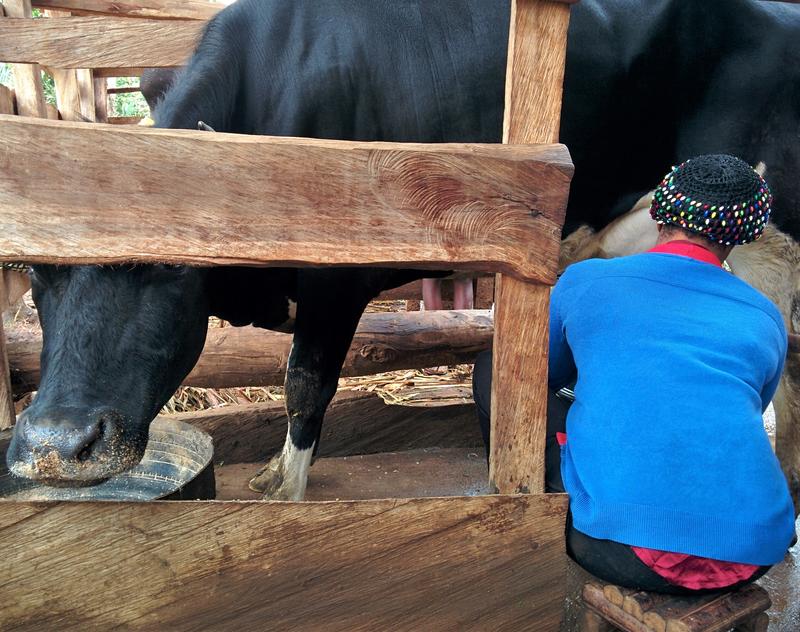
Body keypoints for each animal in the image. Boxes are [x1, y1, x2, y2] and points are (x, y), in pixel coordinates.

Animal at [7, 0, 800, 504]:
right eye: (34, 268)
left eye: (168, 263)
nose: (54, 445)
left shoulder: (337, 282)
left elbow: (306, 383)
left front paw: (284, 489)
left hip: (777, 236)